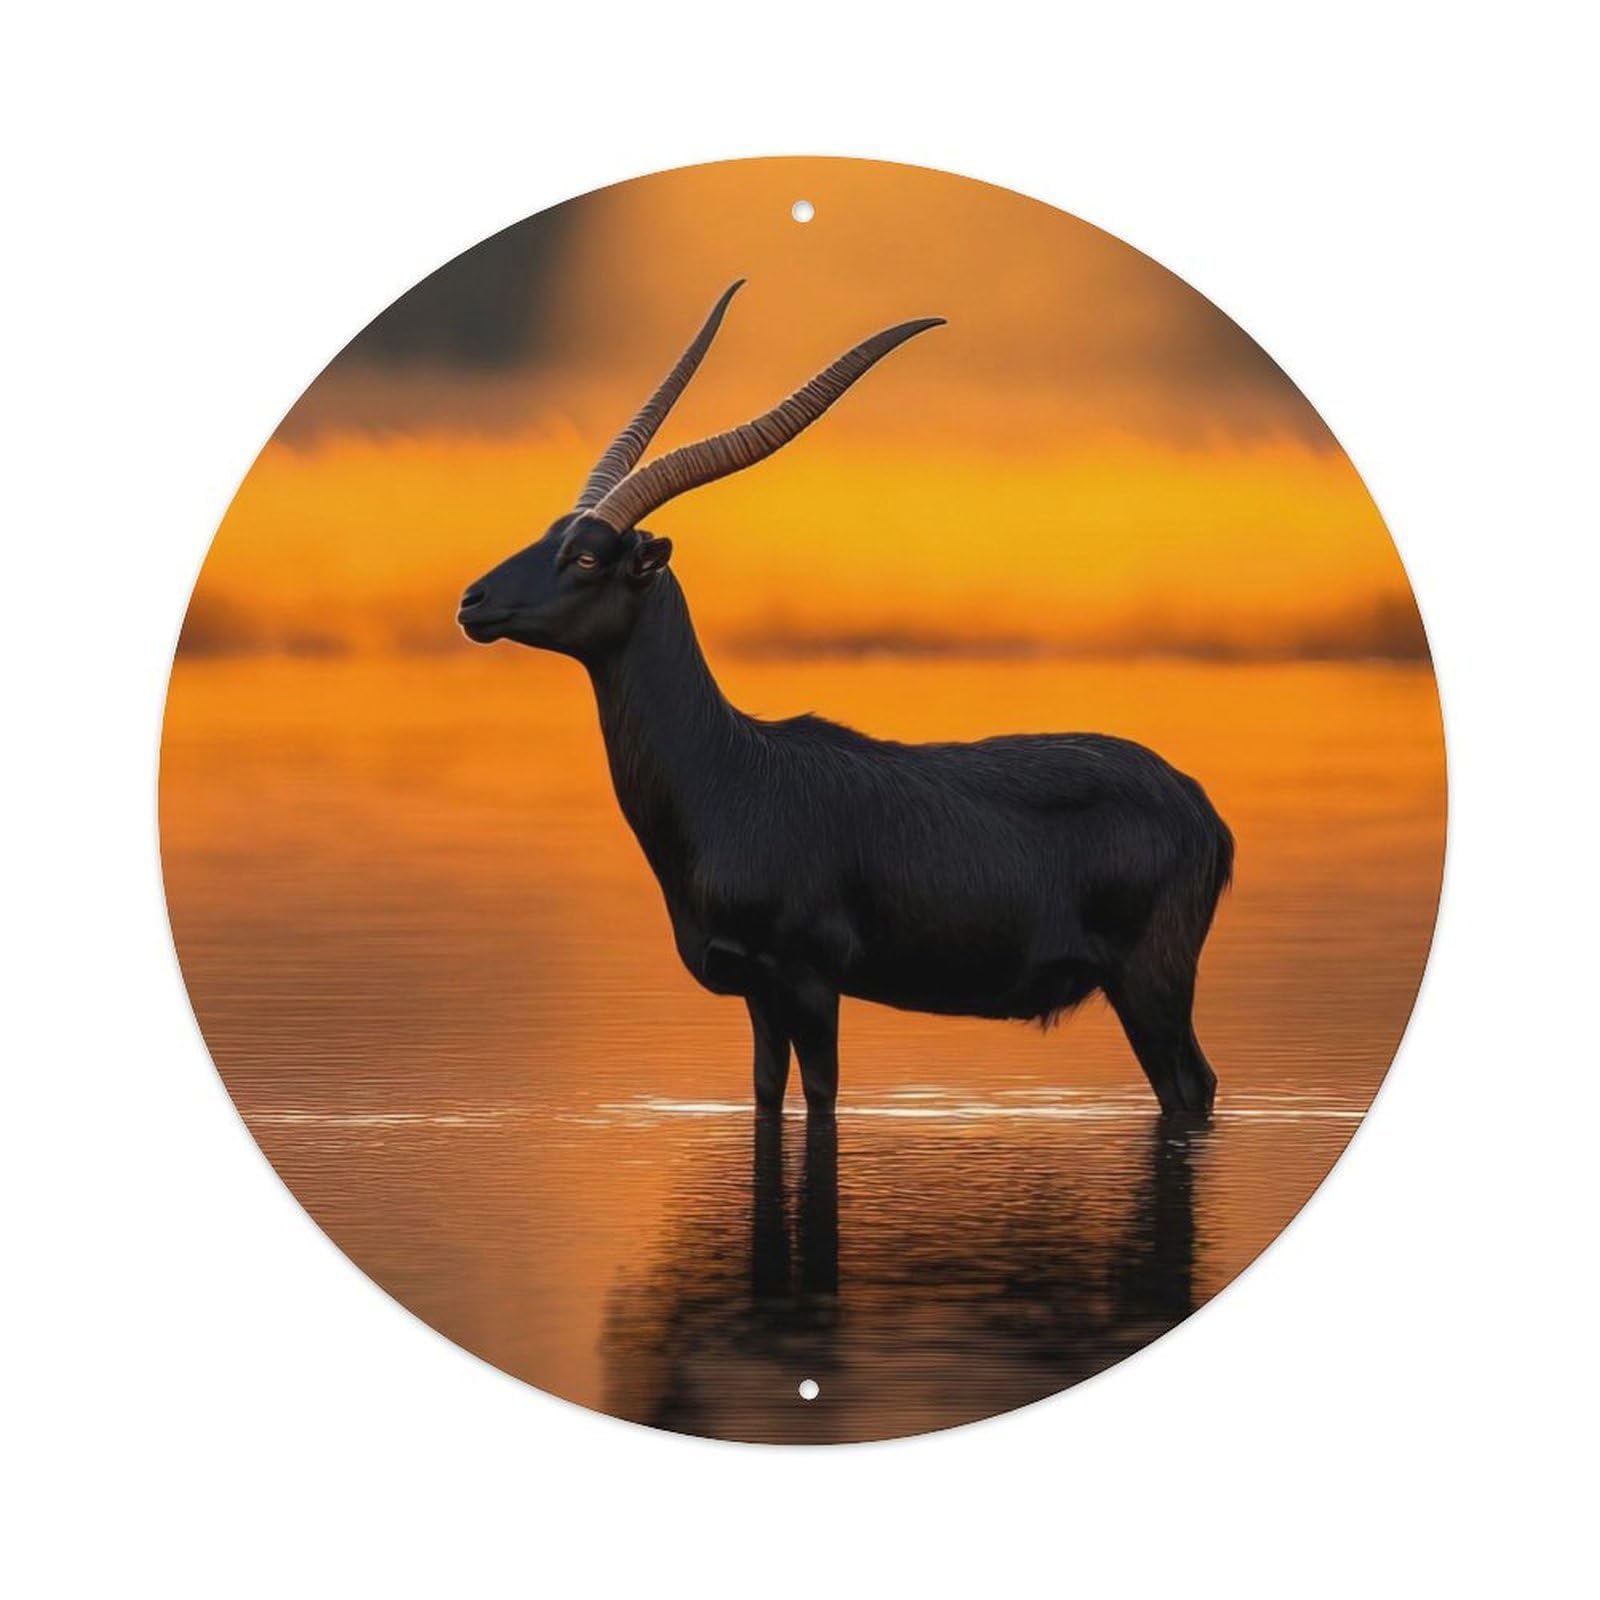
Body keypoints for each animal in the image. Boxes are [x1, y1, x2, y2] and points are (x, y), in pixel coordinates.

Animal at [458, 282, 1233, 1118]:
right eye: (552, 534)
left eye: (588, 556)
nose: (473, 602)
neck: (731, 771)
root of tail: (1200, 809)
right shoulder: (757, 992)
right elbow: (768, 1094)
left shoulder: (809, 979)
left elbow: (824, 1097)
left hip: (1151, 984)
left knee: (1192, 1086)